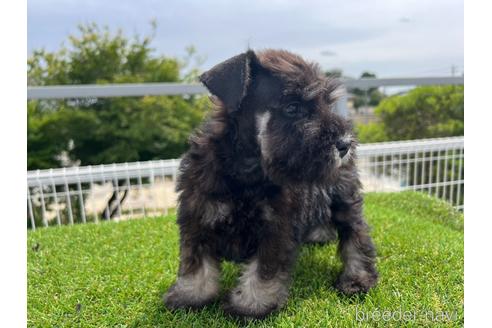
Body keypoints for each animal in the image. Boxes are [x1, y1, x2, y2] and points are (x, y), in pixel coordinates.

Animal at [163, 50, 378, 320]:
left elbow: (263, 271)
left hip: (343, 199)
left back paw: (358, 278)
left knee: (356, 235)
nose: (345, 144)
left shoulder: (275, 228)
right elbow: (195, 265)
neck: (247, 169)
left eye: (326, 103)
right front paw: (189, 296)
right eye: (292, 107)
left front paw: (251, 306)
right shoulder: (197, 218)